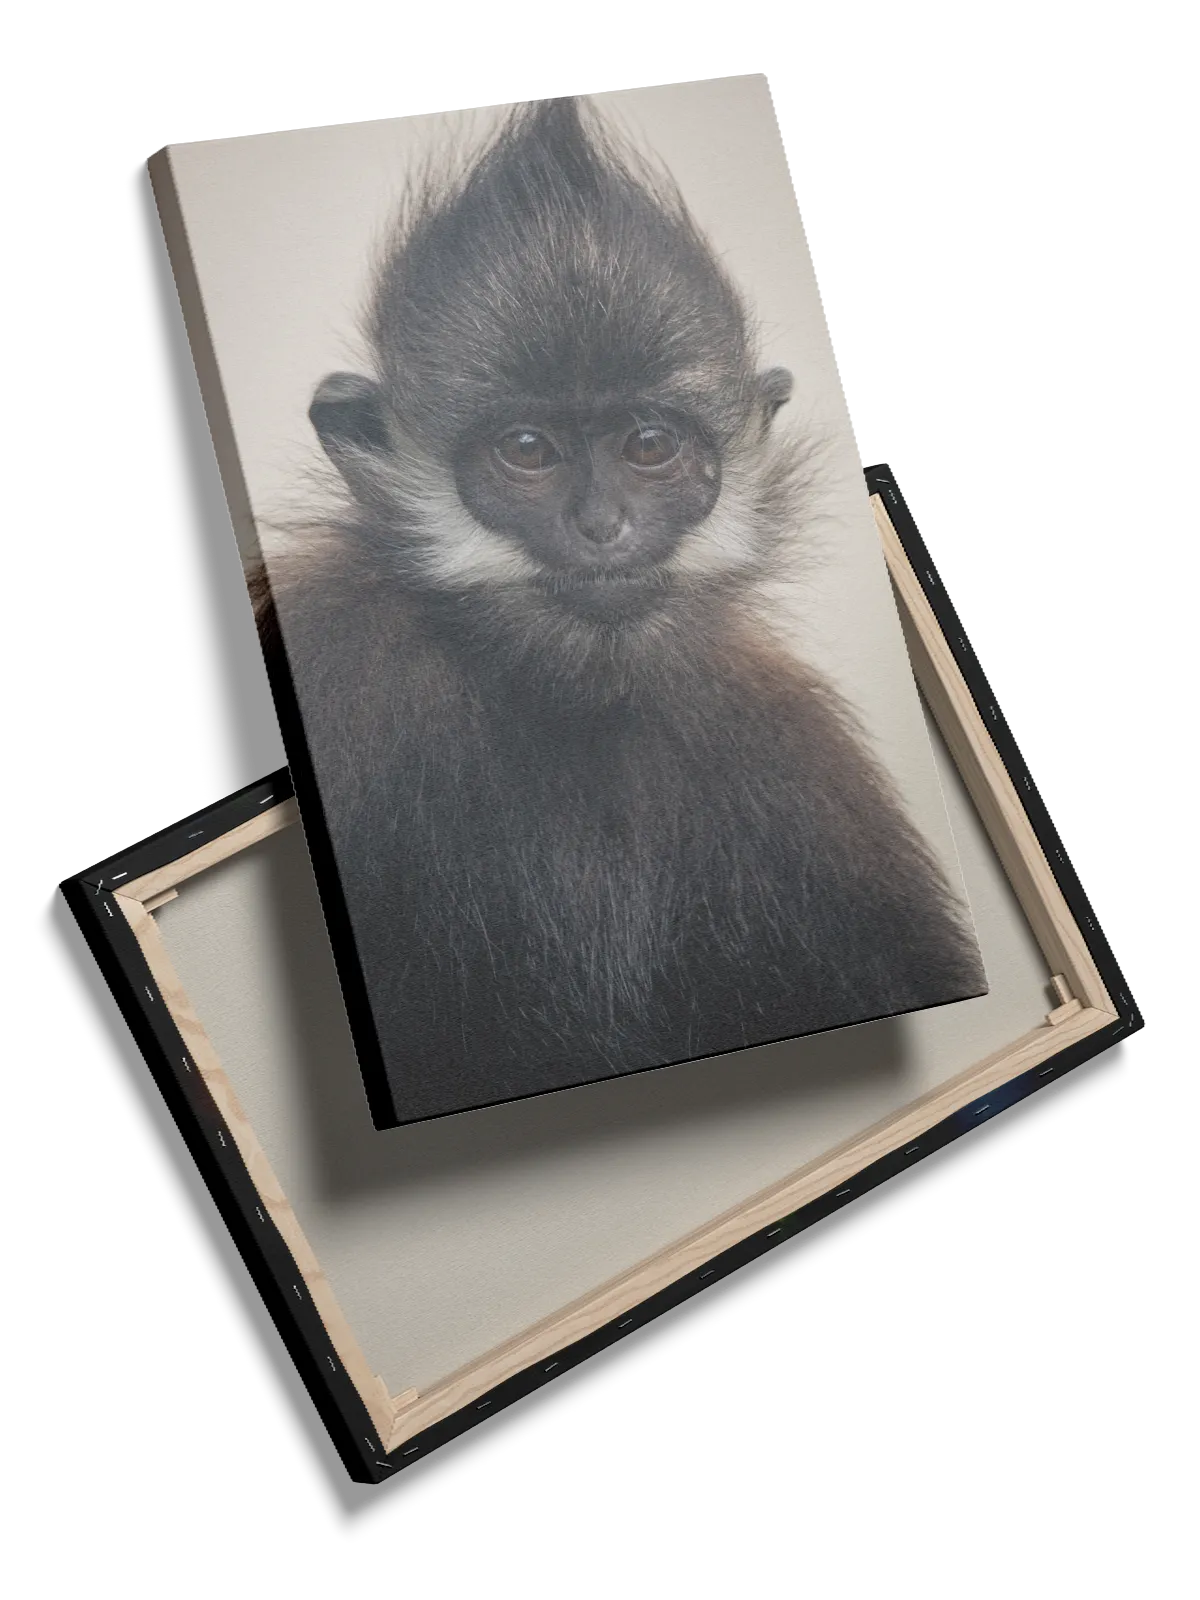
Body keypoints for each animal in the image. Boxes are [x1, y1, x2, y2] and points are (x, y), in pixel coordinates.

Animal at [254, 96, 987, 1122]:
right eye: (528, 449)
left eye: (647, 446)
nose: (603, 526)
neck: (570, 705)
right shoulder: (340, 658)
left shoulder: (783, 741)